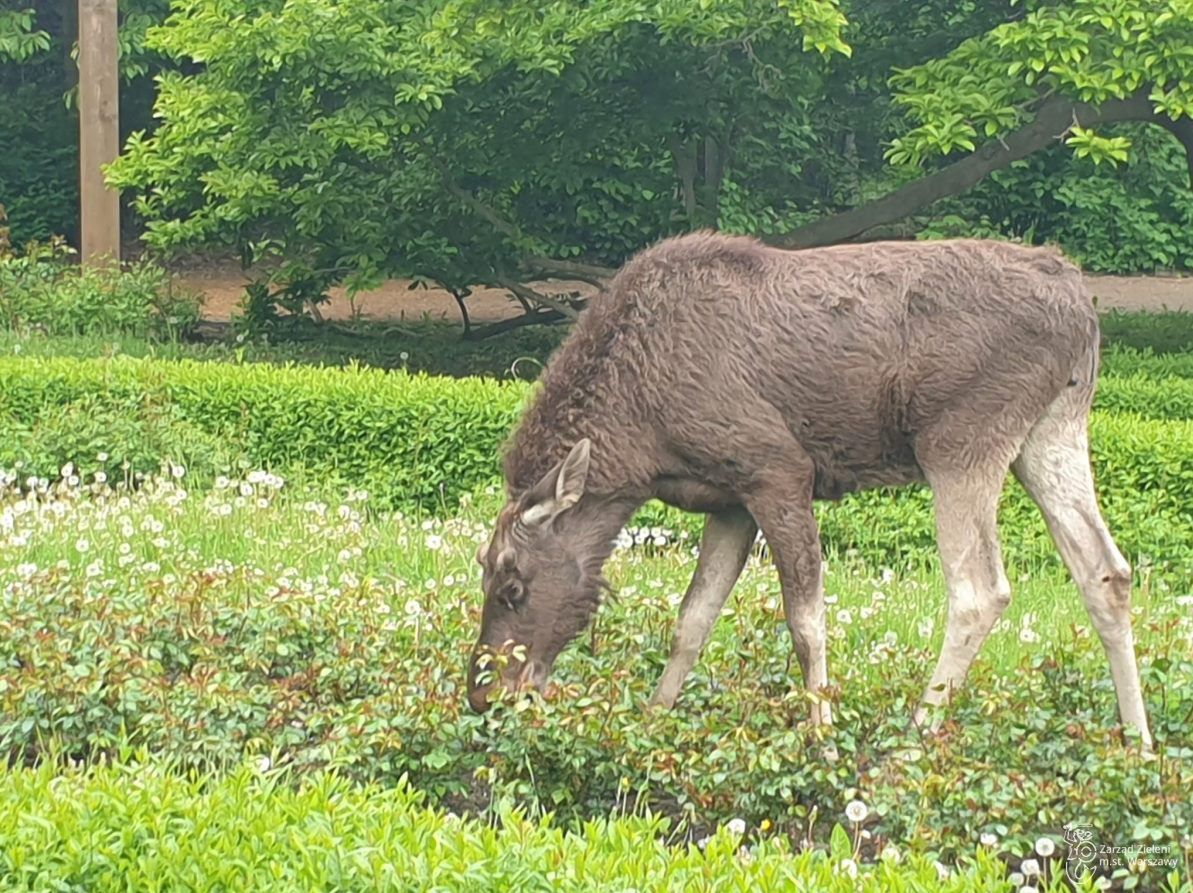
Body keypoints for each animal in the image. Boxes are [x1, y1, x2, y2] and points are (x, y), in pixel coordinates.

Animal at [467, 230, 1154, 743]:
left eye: (512, 585)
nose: (483, 694)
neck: (640, 447)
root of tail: (1082, 307)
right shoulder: (730, 500)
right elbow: (693, 618)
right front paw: (655, 718)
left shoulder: (777, 470)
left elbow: (805, 622)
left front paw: (821, 733)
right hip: (1051, 430)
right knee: (1106, 570)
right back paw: (1138, 742)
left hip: (961, 441)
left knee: (980, 590)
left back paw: (913, 736)